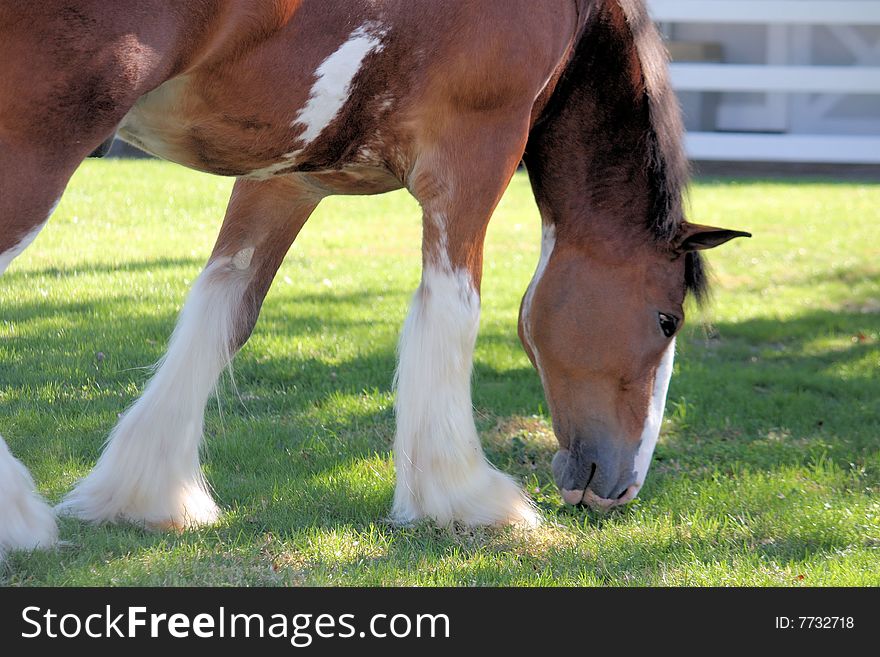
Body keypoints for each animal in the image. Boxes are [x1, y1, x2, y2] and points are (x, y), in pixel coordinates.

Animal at [0, 0, 744, 552]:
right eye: (667, 319)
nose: (623, 486)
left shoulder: (286, 178)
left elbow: (224, 313)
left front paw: (147, 492)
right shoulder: (474, 153)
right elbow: (452, 311)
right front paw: (462, 496)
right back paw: (21, 519)